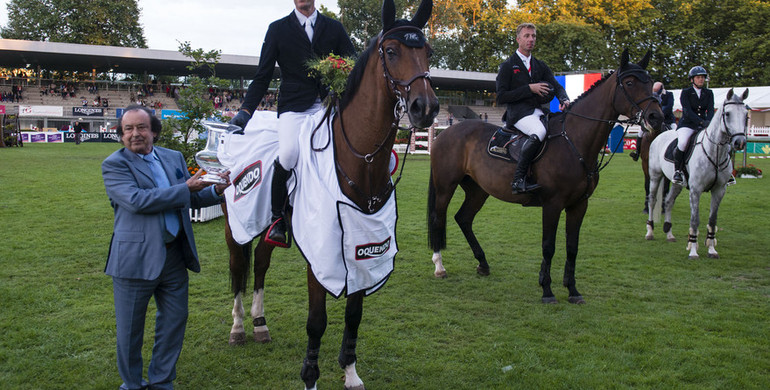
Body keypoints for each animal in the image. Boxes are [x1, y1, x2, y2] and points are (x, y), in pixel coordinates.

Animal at [424, 49, 664, 304]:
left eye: (650, 82)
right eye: (629, 83)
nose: (656, 117)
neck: (574, 140)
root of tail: (443, 134)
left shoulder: (579, 205)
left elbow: (572, 247)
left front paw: (573, 290)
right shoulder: (552, 204)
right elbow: (549, 246)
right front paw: (547, 290)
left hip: (478, 190)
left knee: (464, 218)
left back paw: (483, 263)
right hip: (445, 186)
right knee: (438, 218)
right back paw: (439, 267)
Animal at [640, 88, 744, 258]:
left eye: (746, 114)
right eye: (727, 114)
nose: (739, 142)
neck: (714, 151)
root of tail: (659, 135)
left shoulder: (719, 190)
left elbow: (712, 220)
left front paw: (712, 249)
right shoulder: (696, 190)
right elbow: (695, 220)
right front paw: (693, 251)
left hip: (677, 183)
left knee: (668, 202)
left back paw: (669, 234)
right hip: (655, 176)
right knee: (652, 200)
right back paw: (650, 232)